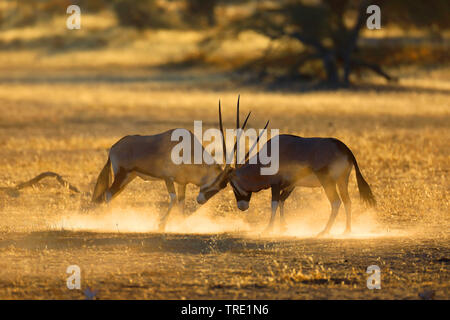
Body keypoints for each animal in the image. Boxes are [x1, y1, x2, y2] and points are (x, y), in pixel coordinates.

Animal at [197, 102, 376, 235]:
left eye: (232, 185)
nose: (242, 207)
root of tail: (345, 149)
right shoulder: (291, 184)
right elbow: (283, 201)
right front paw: (283, 227)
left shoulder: (276, 184)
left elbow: (274, 204)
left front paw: (268, 229)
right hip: (342, 180)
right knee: (347, 202)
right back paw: (347, 230)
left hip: (328, 182)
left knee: (336, 202)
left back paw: (324, 231)